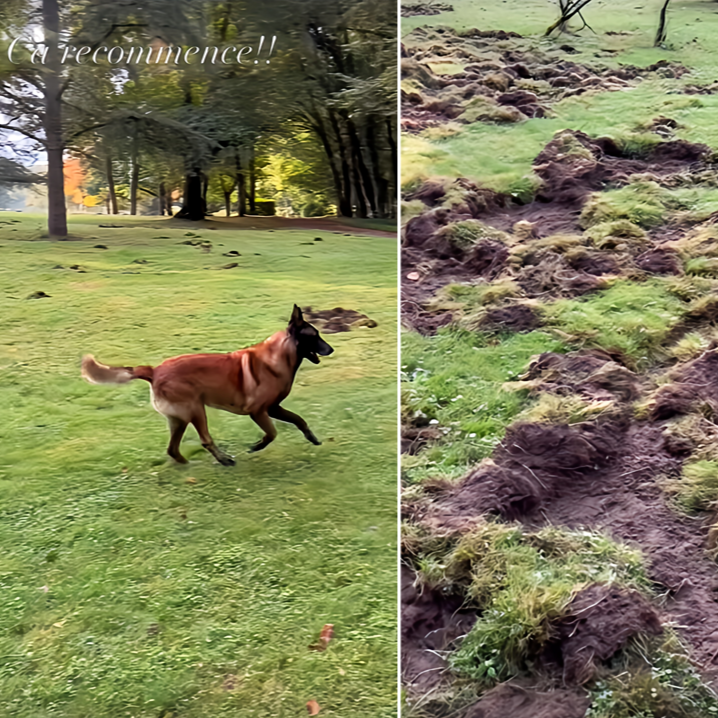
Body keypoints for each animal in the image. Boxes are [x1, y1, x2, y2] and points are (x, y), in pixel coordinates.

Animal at [81, 306, 334, 466]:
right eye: (314, 335)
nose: (331, 349)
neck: (280, 356)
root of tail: (154, 370)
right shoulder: (258, 411)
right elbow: (271, 433)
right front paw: (256, 446)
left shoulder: (273, 408)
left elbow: (299, 419)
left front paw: (312, 437)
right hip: (196, 410)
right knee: (205, 440)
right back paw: (224, 460)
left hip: (179, 419)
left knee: (172, 449)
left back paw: (186, 464)